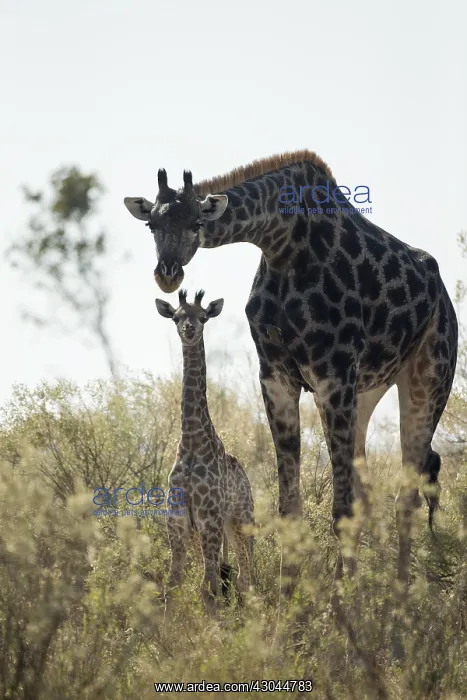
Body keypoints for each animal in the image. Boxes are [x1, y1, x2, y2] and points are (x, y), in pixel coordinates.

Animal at [155, 288, 255, 610]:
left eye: (202, 317)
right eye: (176, 317)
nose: (188, 330)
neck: (191, 440)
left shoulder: (210, 519)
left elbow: (208, 586)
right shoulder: (177, 523)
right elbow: (173, 583)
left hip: (241, 521)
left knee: (245, 576)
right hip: (210, 532)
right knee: (231, 577)